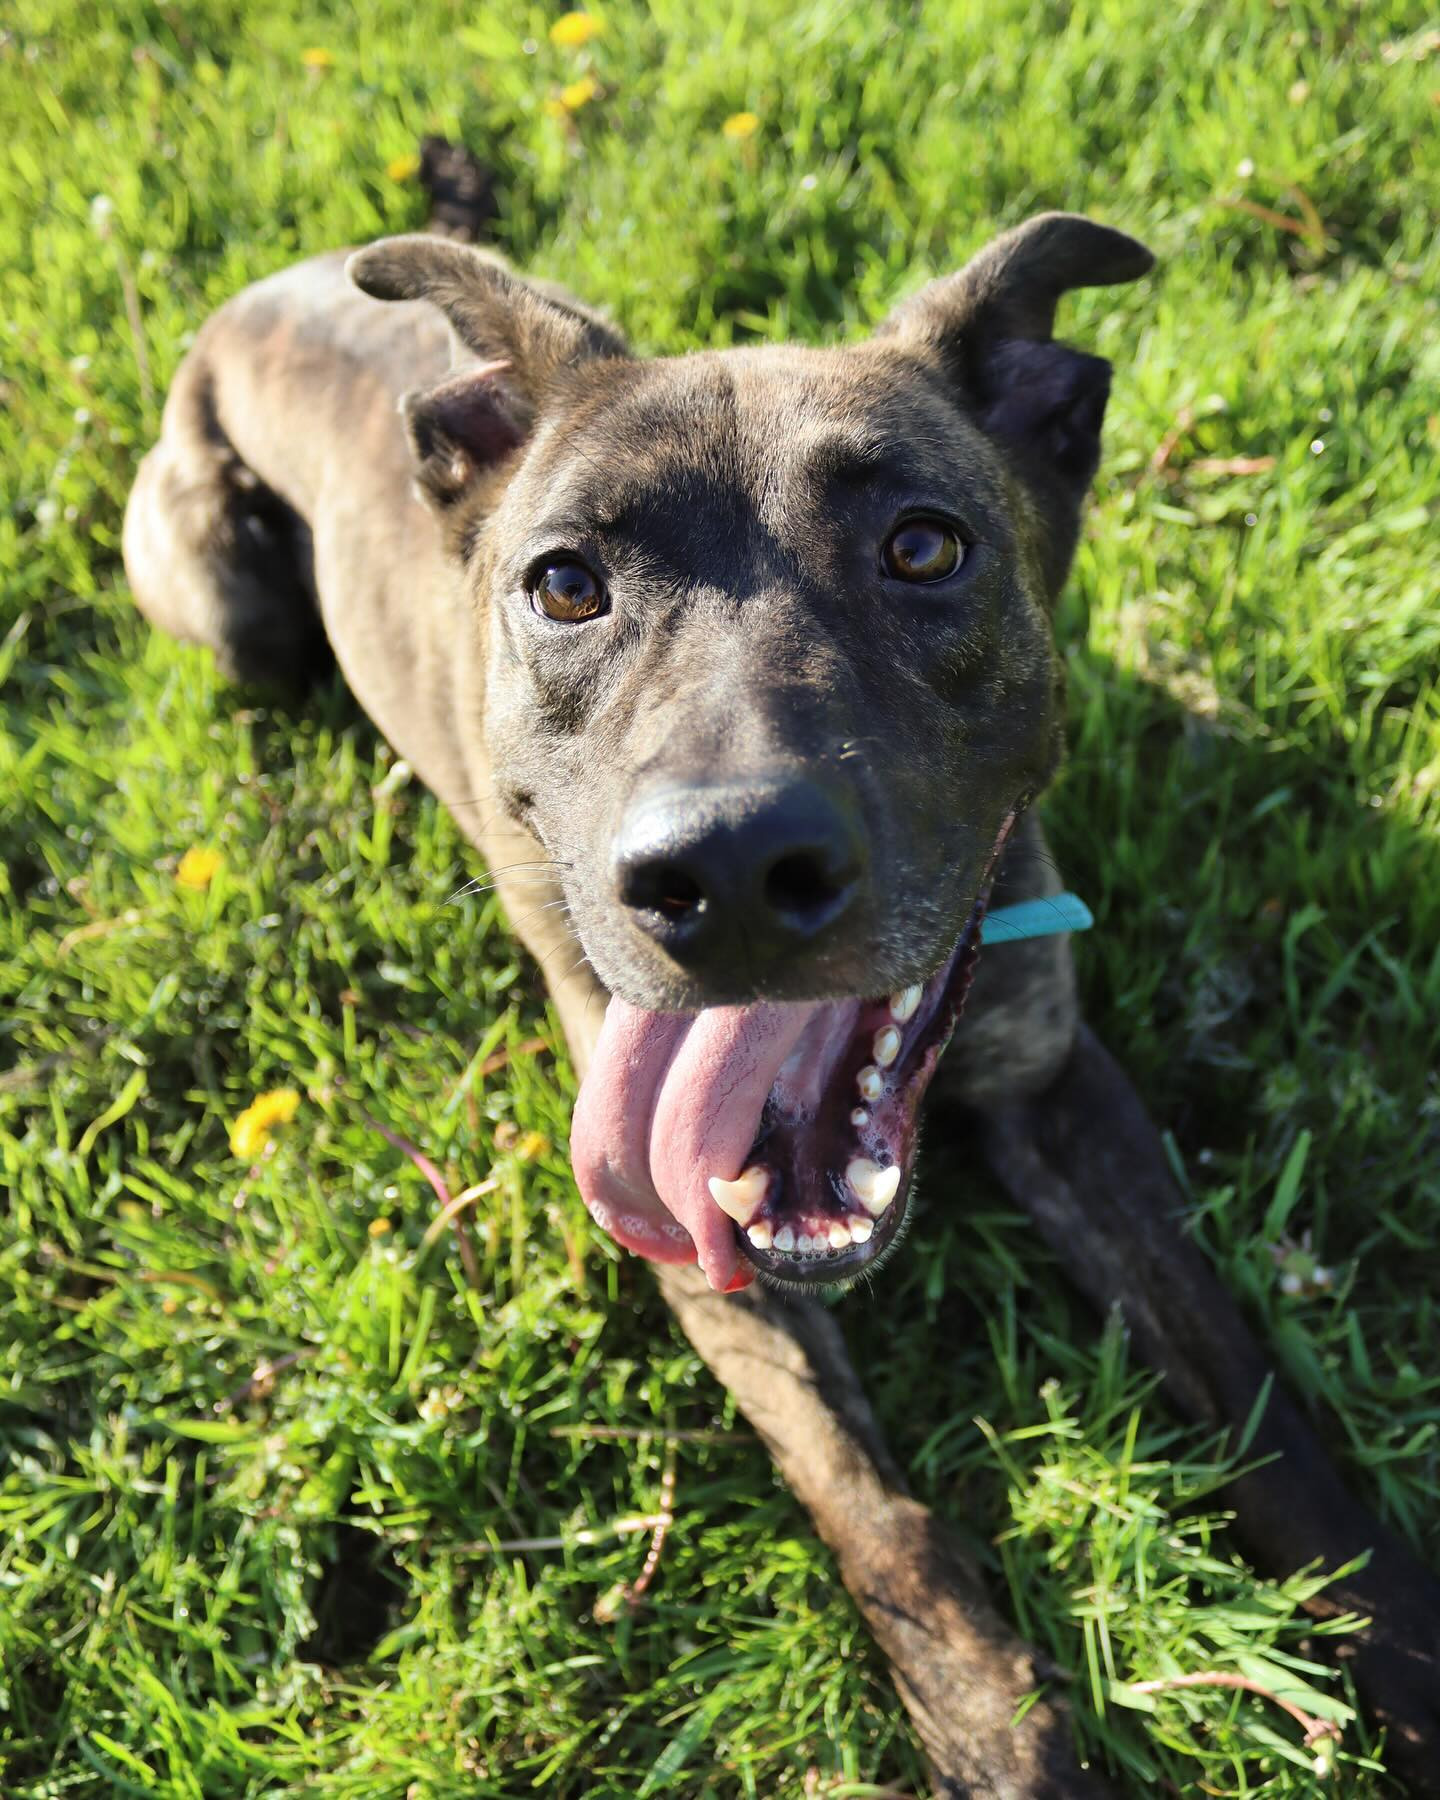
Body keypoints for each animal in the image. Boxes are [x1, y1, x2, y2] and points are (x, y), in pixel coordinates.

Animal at [120, 207, 1440, 1785]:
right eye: (564, 584)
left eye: (925, 546)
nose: (730, 868)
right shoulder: (692, 1242)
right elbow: (871, 1505)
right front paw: (999, 1729)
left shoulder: (1064, 1088)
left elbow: (1257, 1404)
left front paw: (1405, 1646)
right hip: (228, 607)